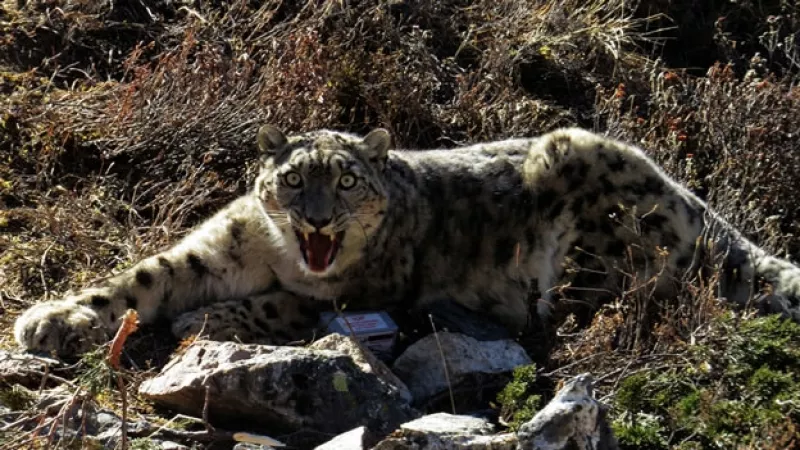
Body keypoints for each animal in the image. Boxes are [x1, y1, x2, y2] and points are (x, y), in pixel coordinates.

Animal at [13, 125, 800, 358]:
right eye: (294, 180)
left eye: (347, 181)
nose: (318, 221)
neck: (278, 256)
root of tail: (697, 202)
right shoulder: (219, 247)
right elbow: (146, 276)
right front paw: (50, 319)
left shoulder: (365, 292)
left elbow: (285, 305)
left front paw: (205, 320)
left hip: (599, 231)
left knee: (593, 309)